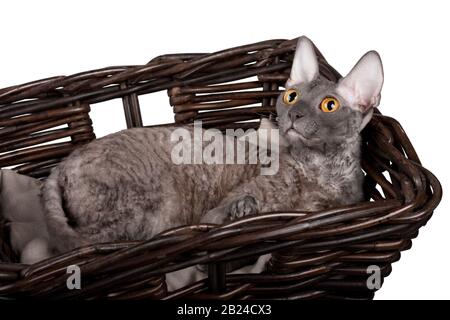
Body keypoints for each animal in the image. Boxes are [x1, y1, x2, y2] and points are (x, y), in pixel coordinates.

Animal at [37, 36, 384, 258]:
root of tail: (63, 164)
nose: (294, 114)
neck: (320, 172)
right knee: (88, 244)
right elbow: (228, 212)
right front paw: (242, 210)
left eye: (329, 105)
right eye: (291, 96)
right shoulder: (215, 212)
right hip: (147, 206)